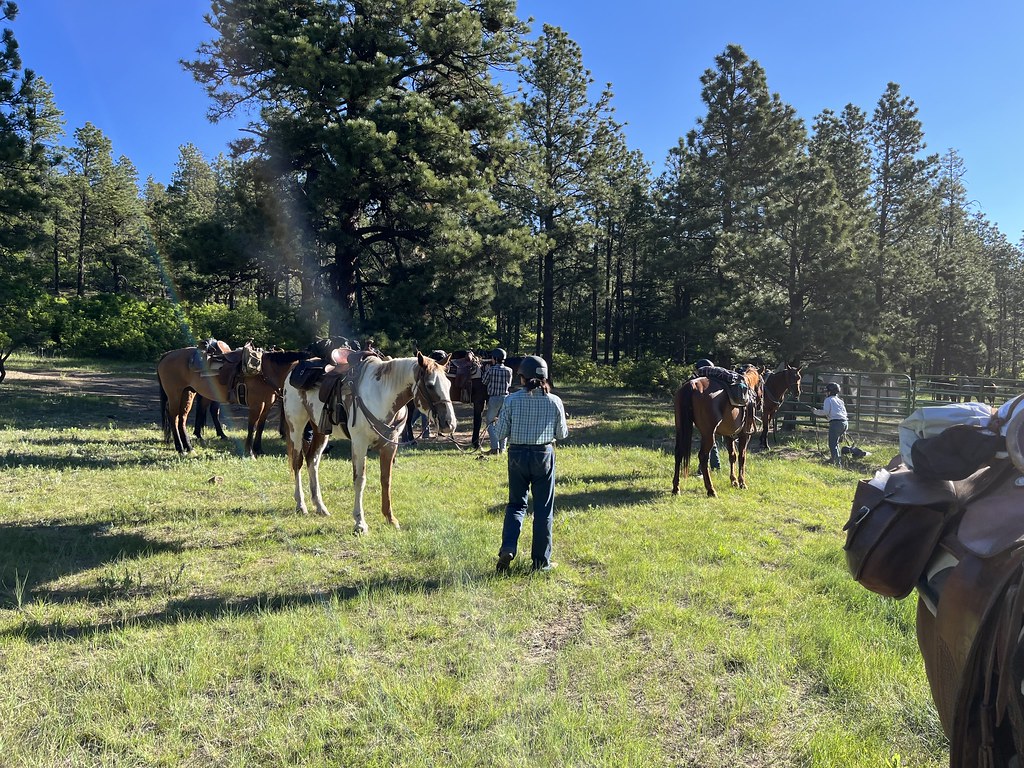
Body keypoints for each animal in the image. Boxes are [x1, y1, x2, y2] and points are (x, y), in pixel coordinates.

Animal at [281, 352, 457, 533]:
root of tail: (295, 366)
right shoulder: (359, 443)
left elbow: (386, 479)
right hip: (296, 426)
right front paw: (360, 522)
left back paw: (320, 506)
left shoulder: (390, 445)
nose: (449, 423)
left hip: (320, 430)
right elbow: (360, 479)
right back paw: (301, 505)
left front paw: (390, 518)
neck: (381, 394)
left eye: (449, 384)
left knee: (312, 461)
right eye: (430, 385)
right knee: (297, 462)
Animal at [672, 365, 763, 497]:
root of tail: (692, 385)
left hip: (681, 429)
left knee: (679, 453)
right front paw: (742, 483)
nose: (760, 403)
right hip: (708, 434)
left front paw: (734, 481)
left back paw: (676, 488)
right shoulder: (745, 435)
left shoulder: (728, 435)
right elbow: (742, 456)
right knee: (703, 457)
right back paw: (711, 490)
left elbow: (732, 456)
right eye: (761, 382)